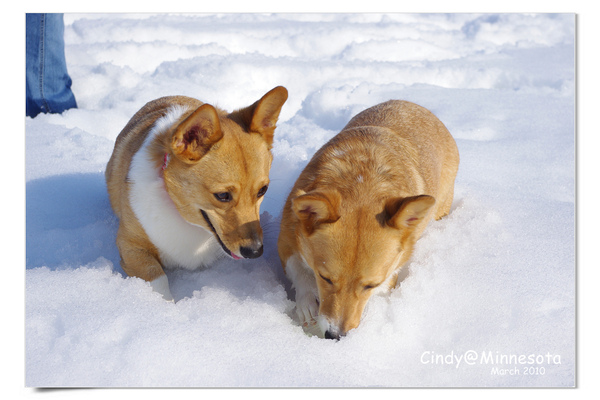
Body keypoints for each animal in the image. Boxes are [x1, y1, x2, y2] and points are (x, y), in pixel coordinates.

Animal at [278, 99, 460, 338]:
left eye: (370, 286)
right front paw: (307, 304)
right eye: (325, 278)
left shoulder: (391, 271)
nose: (335, 335)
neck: (362, 181)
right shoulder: (287, 237)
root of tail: (414, 105)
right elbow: (299, 271)